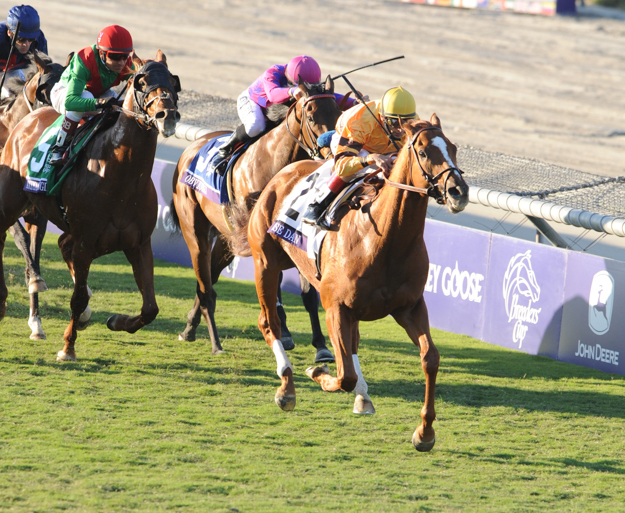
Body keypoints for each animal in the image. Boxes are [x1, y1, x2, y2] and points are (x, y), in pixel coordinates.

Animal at [0, 50, 180, 358]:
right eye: (142, 81)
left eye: (173, 80)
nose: (166, 115)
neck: (122, 174)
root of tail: (28, 119)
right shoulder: (86, 241)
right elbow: (78, 296)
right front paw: (68, 348)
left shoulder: (139, 244)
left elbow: (150, 308)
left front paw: (116, 321)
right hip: (11, 202)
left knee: (63, 245)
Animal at [172, 77, 342, 356]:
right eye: (311, 115)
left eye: (338, 113)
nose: (332, 154)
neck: (273, 163)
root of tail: (190, 148)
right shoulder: (263, 239)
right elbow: (275, 286)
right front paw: (285, 334)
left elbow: (308, 293)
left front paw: (321, 346)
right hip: (194, 228)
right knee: (203, 276)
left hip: (226, 239)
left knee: (208, 277)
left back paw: (189, 327)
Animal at [244, 115, 468, 448]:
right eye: (424, 152)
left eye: (452, 148)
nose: (458, 191)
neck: (383, 239)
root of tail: (283, 173)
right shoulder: (335, 306)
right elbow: (343, 374)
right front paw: (316, 371)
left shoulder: (410, 307)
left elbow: (430, 358)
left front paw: (425, 432)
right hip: (266, 263)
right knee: (268, 322)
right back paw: (287, 387)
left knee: (352, 345)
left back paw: (362, 396)